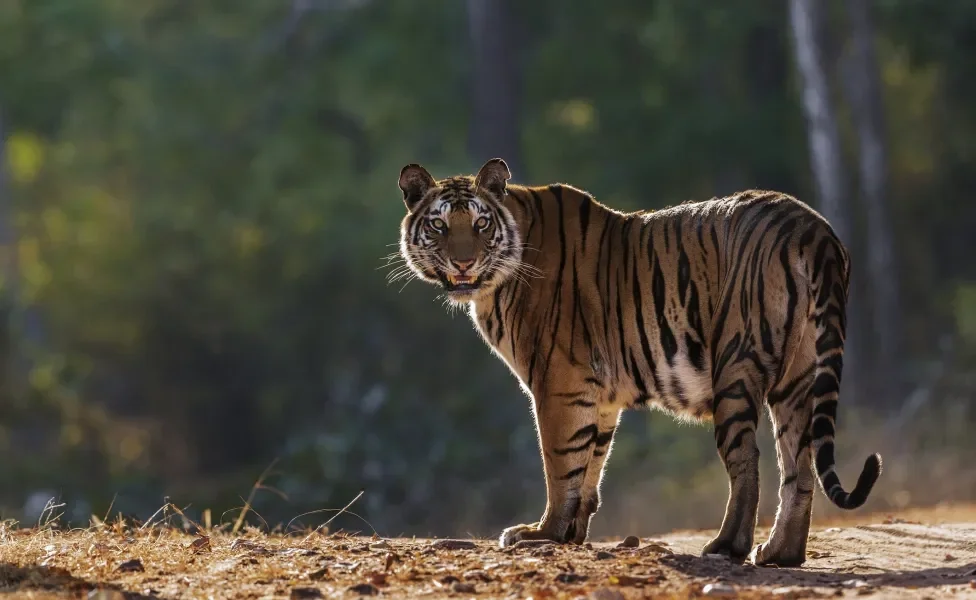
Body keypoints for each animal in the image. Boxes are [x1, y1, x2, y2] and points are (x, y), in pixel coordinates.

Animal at [392, 157, 880, 564]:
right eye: (438, 225)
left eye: (480, 223)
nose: (463, 262)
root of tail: (811, 228)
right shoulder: (599, 396)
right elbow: (590, 464)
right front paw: (571, 534)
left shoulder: (558, 383)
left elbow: (560, 462)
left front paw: (542, 534)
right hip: (798, 377)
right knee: (798, 466)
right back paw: (781, 553)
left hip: (737, 362)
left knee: (748, 460)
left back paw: (728, 546)